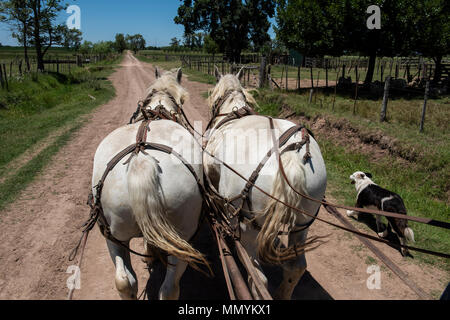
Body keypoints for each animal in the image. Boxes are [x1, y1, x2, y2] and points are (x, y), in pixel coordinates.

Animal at [91, 68, 207, 300]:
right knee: (168, 289)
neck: (159, 108)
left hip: (113, 236)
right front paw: (149, 252)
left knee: (124, 281)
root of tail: (141, 159)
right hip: (181, 237)